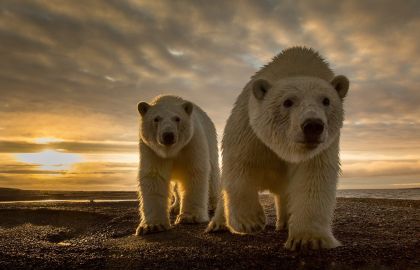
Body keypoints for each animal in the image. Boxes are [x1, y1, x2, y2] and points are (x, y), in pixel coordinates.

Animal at [135, 96, 221, 235]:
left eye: (177, 118)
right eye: (156, 119)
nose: (168, 135)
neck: (171, 151)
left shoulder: (192, 142)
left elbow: (194, 171)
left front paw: (190, 217)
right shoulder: (151, 150)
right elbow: (154, 177)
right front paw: (153, 225)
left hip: (211, 141)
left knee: (213, 175)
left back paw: (212, 204)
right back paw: (174, 207)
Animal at [208, 46, 350, 251]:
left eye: (326, 100)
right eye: (288, 102)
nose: (313, 126)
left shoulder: (321, 148)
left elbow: (313, 177)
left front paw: (308, 239)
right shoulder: (249, 129)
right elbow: (240, 164)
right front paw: (250, 221)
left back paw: (284, 222)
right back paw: (218, 224)